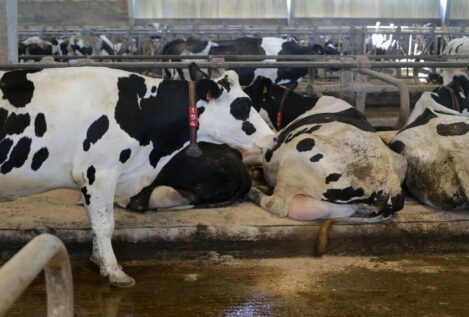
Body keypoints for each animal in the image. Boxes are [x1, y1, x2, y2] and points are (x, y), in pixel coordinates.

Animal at [0, 64, 276, 286]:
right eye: (243, 106)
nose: (273, 138)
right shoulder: (100, 172)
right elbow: (105, 225)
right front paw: (115, 272)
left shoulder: (90, 178)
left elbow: (94, 221)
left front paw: (100, 261)